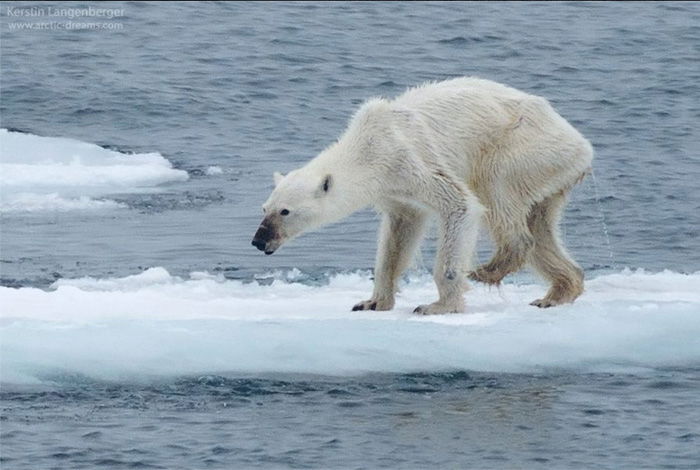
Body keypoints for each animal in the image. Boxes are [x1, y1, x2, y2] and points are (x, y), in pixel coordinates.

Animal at [252, 77, 593, 314]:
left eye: (285, 211)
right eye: (264, 208)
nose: (258, 240)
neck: (368, 147)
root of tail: (582, 144)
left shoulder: (408, 159)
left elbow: (460, 205)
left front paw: (438, 305)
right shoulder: (393, 190)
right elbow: (399, 234)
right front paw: (372, 302)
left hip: (523, 148)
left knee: (497, 190)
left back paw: (488, 269)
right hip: (550, 173)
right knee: (540, 225)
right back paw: (557, 292)